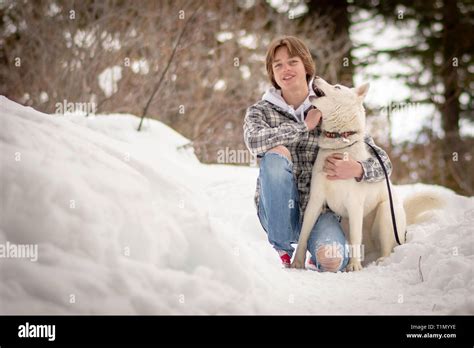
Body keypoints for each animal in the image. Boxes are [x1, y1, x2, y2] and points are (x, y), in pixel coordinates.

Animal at [290, 76, 442, 272]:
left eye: (337, 87)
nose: (315, 77)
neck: (340, 142)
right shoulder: (315, 201)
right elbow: (304, 234)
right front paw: (297, 262)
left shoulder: (355, 205)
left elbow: (356, 238)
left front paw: (354, 266)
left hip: (386, 214)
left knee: (387, 248)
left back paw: (380, 260)